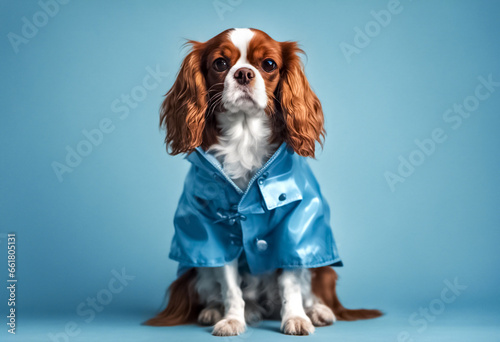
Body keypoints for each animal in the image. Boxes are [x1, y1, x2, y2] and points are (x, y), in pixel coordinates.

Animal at [146, 28, 382, 336]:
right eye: (220, 63)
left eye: (268, 64)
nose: (244, 73)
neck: (244, 135)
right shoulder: (217, 234)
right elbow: (230, 285)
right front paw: (232, 319)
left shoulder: (292, 229)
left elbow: (290, 282)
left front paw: (295, 318)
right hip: (198, 270)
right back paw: (213, 311)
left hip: (321, 268)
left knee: (310, 290)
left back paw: (317, 311)